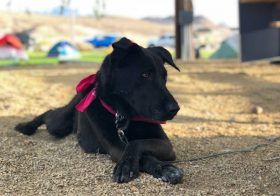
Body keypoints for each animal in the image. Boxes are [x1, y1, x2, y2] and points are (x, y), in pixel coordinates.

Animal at [16, 37, 185, 185]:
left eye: (164, 77)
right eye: (145, 74)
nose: (175, 109)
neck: (124, 115)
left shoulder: (166, 144)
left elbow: (137, 143)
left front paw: (163, 168)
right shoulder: (115, 147)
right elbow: (139, 150)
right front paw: (153, 167)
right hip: (59, 125)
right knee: (49, 114)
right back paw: (26, 126)